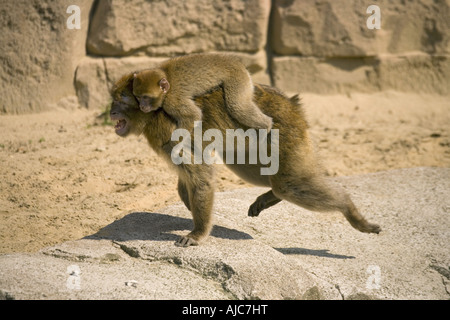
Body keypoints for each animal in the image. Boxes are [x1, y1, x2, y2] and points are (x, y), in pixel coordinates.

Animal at [132, 53, 272, 131]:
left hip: (238, 77)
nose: (142, 106)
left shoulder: (172, 101)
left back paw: (266, 125)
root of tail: (236, 62)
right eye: (138, 97)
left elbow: (193, 115)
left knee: (238, 107)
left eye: (146, 97)